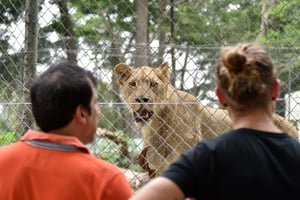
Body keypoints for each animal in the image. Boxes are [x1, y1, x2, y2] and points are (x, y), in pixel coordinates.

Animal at [113, 62, 298, 177]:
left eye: (153, 84)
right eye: (133, 84)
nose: (142, 99)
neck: (158, 125)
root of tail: (292, 126)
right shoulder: (158, 169)